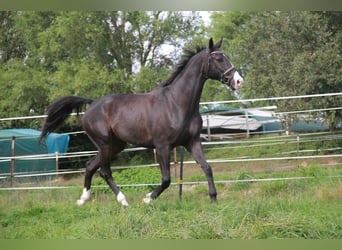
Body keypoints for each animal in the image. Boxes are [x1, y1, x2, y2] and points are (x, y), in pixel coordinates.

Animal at [39, 38, 243, 206]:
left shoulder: (192, 142)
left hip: (115, 145)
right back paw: (123, 201)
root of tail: (93, 103)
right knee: (104, 171)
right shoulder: (162, 146)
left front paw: (213, 199)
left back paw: (83, 199)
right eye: (218, 58)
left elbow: (207, 168)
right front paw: (147, 199)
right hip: (105, 144)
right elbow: (166, 179)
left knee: (90, 165)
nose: (239, 81)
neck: (177, 103)